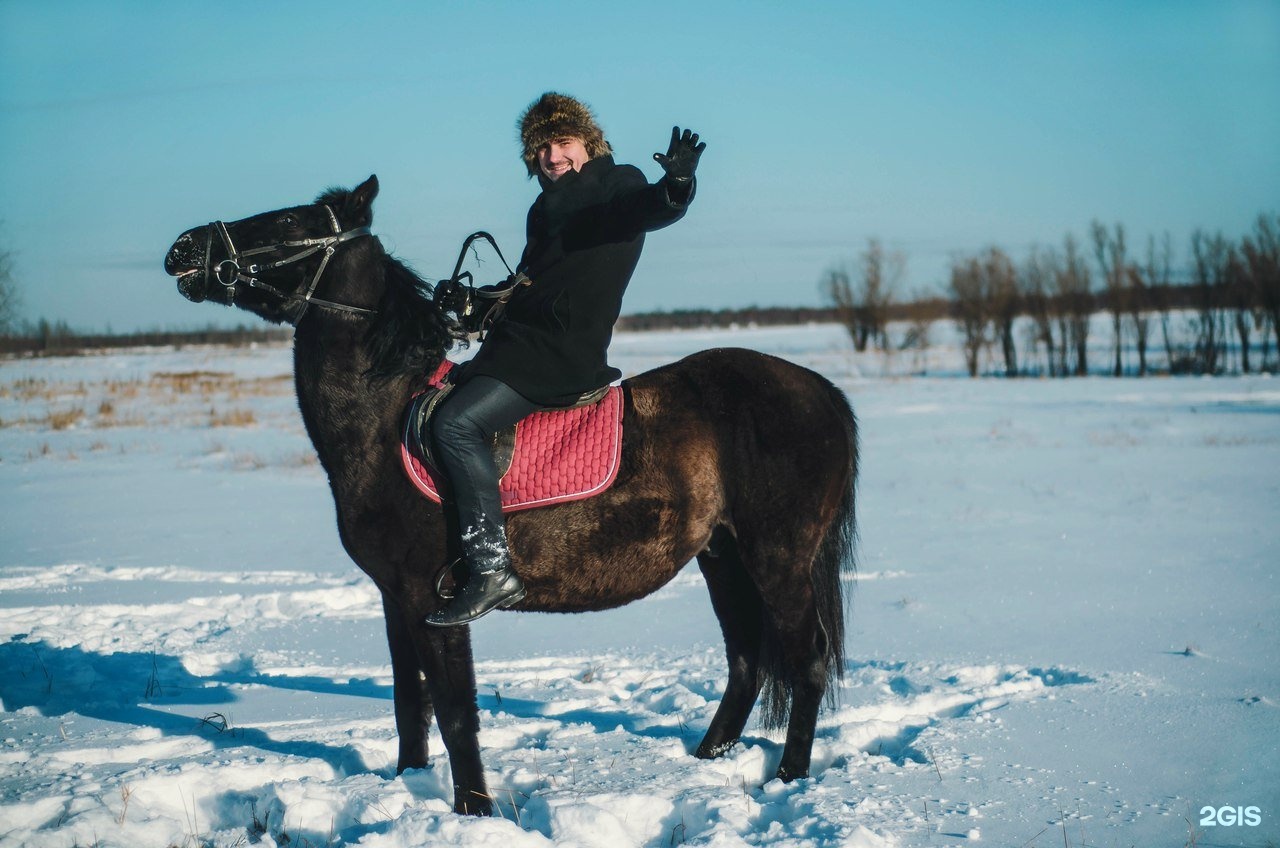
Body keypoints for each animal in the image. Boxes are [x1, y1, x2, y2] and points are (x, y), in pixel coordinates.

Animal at [162, 178, 860, 819]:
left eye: (289, 221)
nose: (183, 249)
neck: (383, 417)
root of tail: (818, 388)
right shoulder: (393, 597)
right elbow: (409, 702)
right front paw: (411, 787)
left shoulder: (432, 601)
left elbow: (454, 711)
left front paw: (473, 809)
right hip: (723, 557)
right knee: (746, 661)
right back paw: (705, 762)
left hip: (778, 558)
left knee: (807, 660)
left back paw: (789, 778)